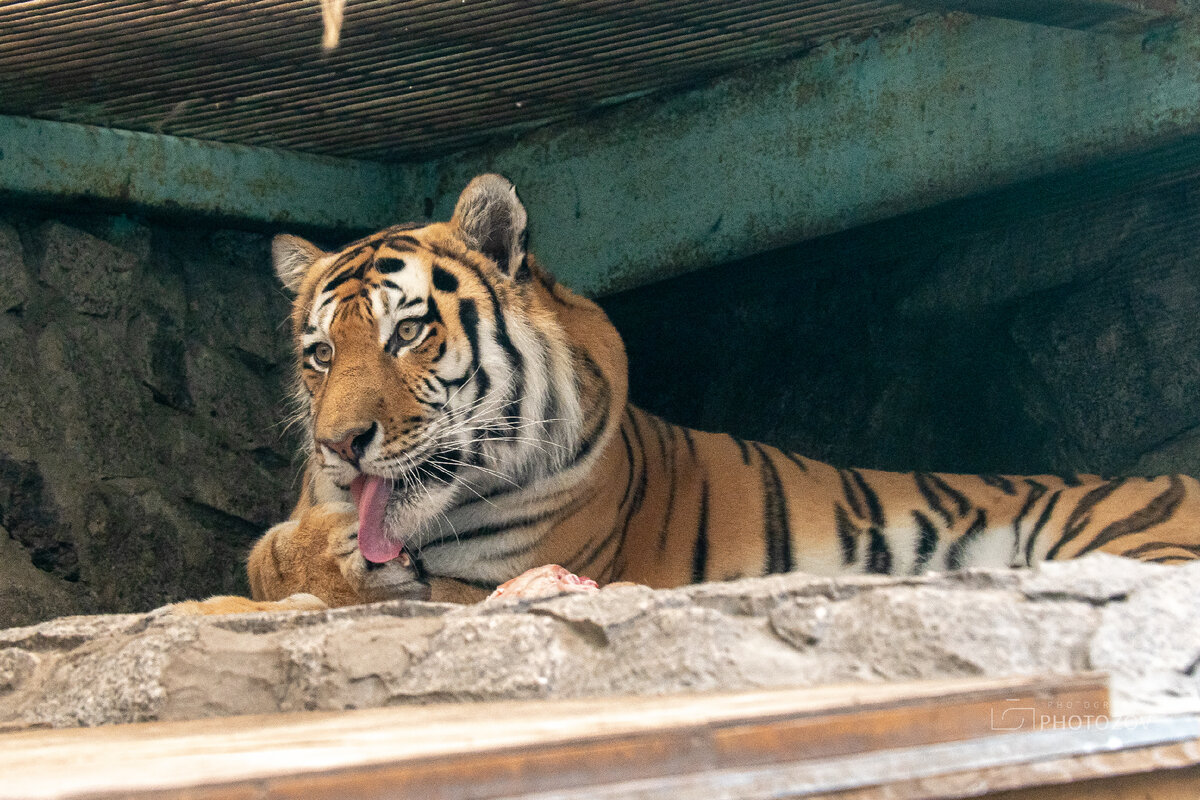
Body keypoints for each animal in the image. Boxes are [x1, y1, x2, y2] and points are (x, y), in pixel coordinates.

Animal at [175, 172, 1200, 618]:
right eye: (319, 354)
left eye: (407, 332)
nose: (340, 444)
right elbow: (259, 561)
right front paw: (317, 552)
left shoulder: (490, 578)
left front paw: (346, 562)